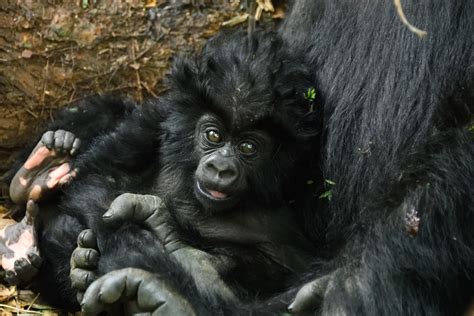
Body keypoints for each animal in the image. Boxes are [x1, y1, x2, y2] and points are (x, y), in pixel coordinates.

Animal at [5, 30, 322, 312]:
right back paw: (36, 177)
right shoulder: (155, 119)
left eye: (248, 147)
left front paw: (168, 246)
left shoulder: (286, 226)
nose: (221, 168)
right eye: (214, 135)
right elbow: (96, 180)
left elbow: (285, 279)